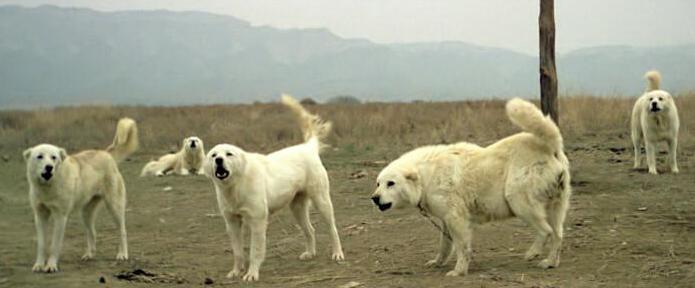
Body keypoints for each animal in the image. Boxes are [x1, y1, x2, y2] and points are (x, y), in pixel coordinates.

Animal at [22, 118, 139, 274]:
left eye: (54, 158)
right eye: (39, 156)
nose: (49, 167)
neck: (48, 186)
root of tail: (106, 154)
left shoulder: (60, 217)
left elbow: (54, 245)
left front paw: (51, 265)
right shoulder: (40, 215)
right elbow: (41, 244)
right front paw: (39, 265)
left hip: (115, 207)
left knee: (122, 231)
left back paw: (122, 254)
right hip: (86, 213)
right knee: (92, 232)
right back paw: (89, 254)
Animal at [204, 94, 346, 282]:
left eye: (229, 154)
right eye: (214, 155)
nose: (219, 160)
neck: (236, 185)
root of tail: (307, 147)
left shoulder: (257, 221)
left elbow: (255, 251)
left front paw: (252, 273)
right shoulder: (232, 223)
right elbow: (238, 252)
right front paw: (236, 271)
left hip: (322, 202)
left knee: (332, 229)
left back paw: (337, 253)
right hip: (297, 208)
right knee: (310, 230)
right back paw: (310, 253)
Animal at [370, 98, 572, 276]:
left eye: (391, 183)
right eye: (378, 183)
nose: (374, 198)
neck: (425, 175)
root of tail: (550, 147)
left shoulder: (456, 218)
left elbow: (462, 246)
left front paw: (459, 271)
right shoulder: (446, 220)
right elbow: (445, 245)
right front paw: (437, 262)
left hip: (518, 200)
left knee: (546, 231)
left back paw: (532, 253)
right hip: (556, 205)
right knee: (558, 234)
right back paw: (550, 262)